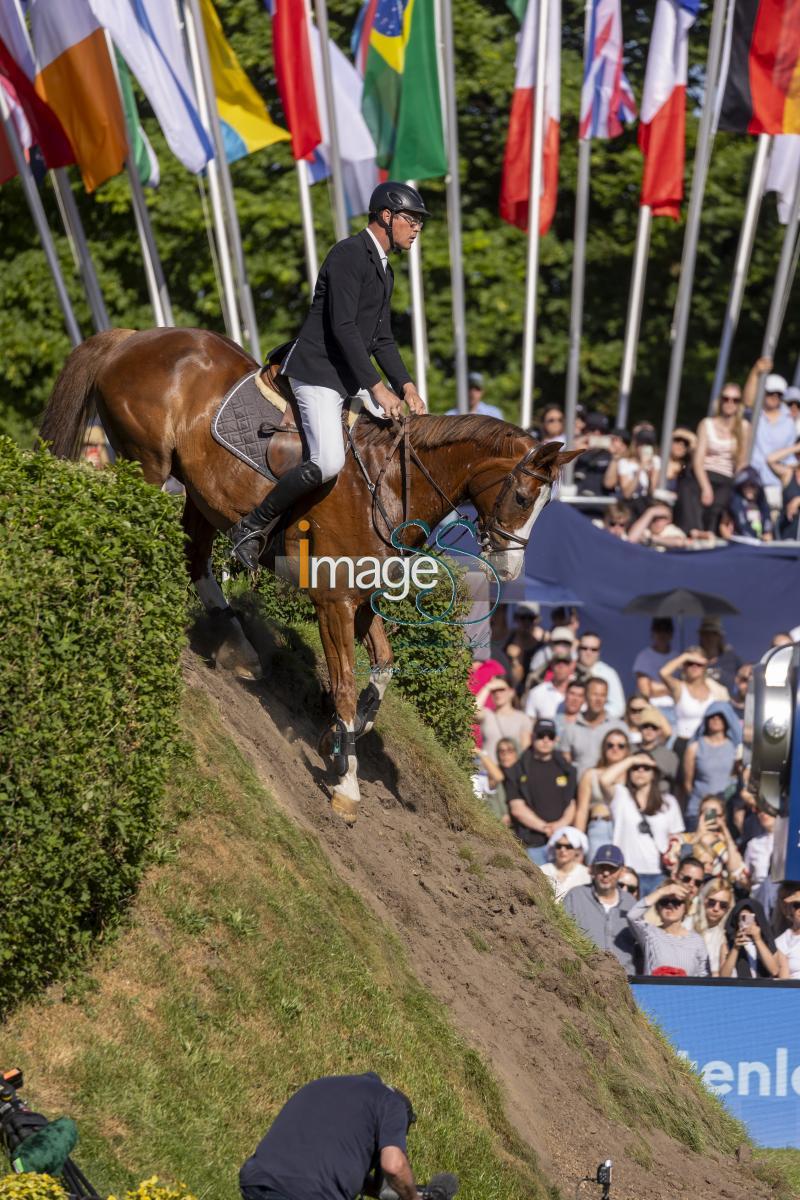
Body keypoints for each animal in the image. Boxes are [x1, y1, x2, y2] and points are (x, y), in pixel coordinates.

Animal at [40, 328, 578, 820]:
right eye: (522, 498)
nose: (510, 569)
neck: (387, 485)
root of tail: (135, 337)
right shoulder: (334, 603)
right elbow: (343, 684)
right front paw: (347, 782)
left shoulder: (362, 602)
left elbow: (382, 670)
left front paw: (339, 739)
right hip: (147, 465)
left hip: (199, 493)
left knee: (195, 556)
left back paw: (237, 646)